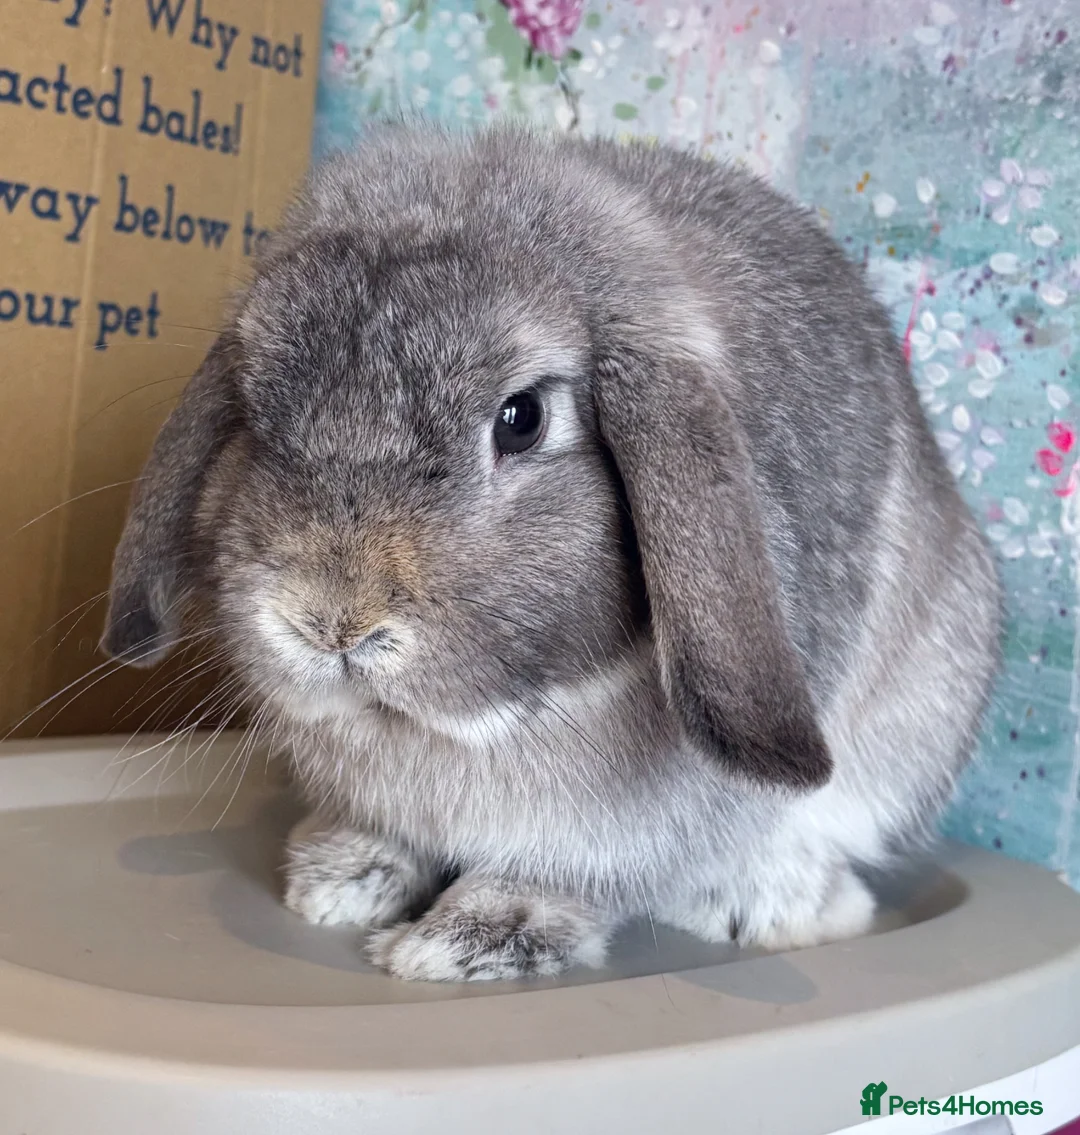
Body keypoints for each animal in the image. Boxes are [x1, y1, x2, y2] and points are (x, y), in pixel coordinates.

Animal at [101, 121, 1003, 982]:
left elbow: (559, 881)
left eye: (522, 418)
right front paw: (339, 880)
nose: (330, 622)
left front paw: (468, 940)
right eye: (255, 416)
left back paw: (764, 905)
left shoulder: (621, 835)